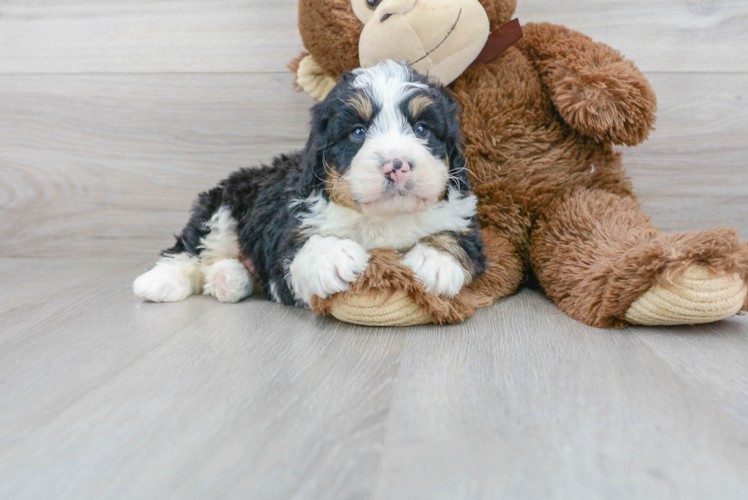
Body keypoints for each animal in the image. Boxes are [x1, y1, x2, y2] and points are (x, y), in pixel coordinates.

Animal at [133, 60, 486, 306]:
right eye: (358, 132)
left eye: (422, 129)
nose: (396, 166)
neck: (384, 218)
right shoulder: (288, 235)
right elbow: (302, 245)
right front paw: (333, 255)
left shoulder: (463, 219)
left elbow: (459, 239)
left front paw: (434, 261)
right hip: (222, 208)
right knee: (190, 247)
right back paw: (159, 281)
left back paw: (229, 280)